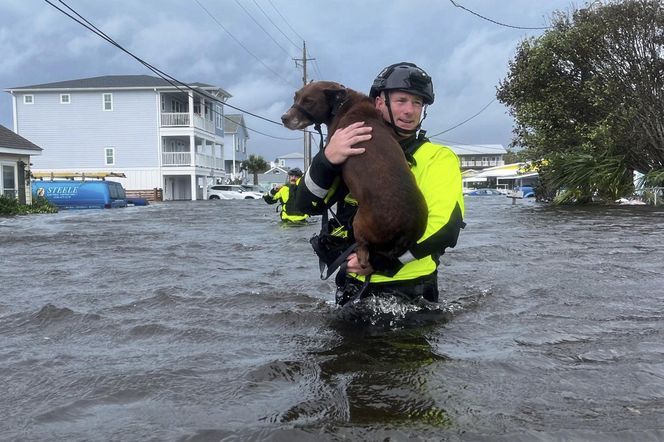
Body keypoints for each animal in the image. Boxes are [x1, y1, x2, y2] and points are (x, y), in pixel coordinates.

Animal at [278, 81, 426, 272]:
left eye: (309, 101)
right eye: (295, 97)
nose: (284, 118)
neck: (345, 103)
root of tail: (404, 232)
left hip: (359, 224)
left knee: (363, 252)